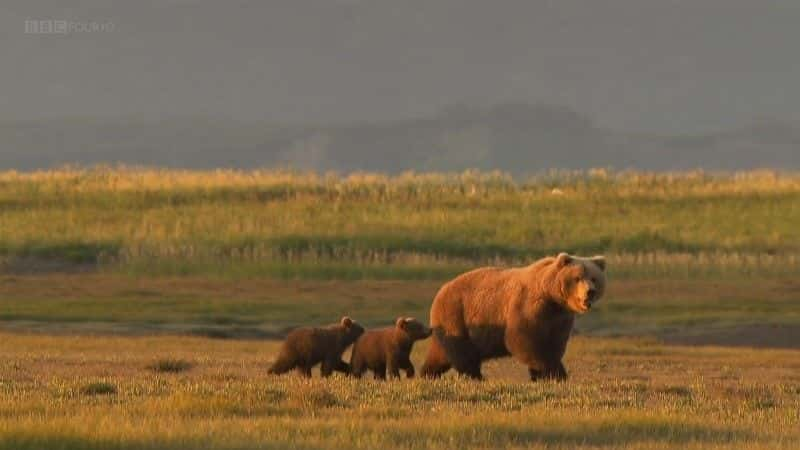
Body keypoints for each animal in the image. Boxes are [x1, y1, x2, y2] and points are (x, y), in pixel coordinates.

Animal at [422, 253, 604, 380]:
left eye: (594, 278)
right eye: (577, 278)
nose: (590, 291)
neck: (552, 299)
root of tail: (441, 291)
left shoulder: (559, 319)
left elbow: (554, 344)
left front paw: (549, 374)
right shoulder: (528, 308)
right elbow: (522, 341)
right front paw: (552, 372)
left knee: (439, 355)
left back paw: (428, 374)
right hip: (457, 316)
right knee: (463, 354)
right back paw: (476, 377)